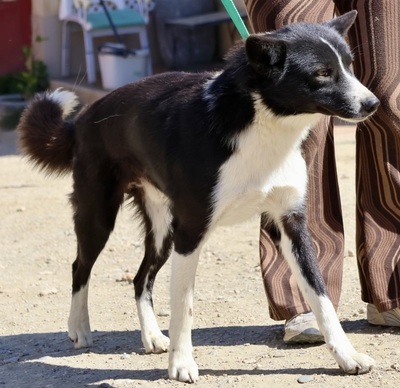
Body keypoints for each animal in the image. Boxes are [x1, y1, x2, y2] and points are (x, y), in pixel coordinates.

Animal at [18, 11, 378, 382]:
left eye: (350, 66)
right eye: (322, 73)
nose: (373, 104)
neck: (261, 121)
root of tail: (82, 120)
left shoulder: (290, 225)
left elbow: (322, 299)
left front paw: (347, 356)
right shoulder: (191, 231)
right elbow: (184, 305)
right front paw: (180, 364)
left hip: (163, 231)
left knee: (140, 279)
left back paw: (151, 336)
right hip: (99, 216)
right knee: (80, 267)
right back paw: (79, 327)